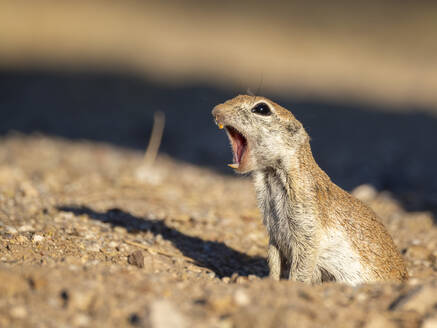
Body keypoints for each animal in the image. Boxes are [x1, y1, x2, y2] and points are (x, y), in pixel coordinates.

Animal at [213, 95, 408, 284]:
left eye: (262, 108)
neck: (271, 177)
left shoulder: (307, 223)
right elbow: (274, 261)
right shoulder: (273, 232)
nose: (216, 110)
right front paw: (268, 281)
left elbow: (303, 262)